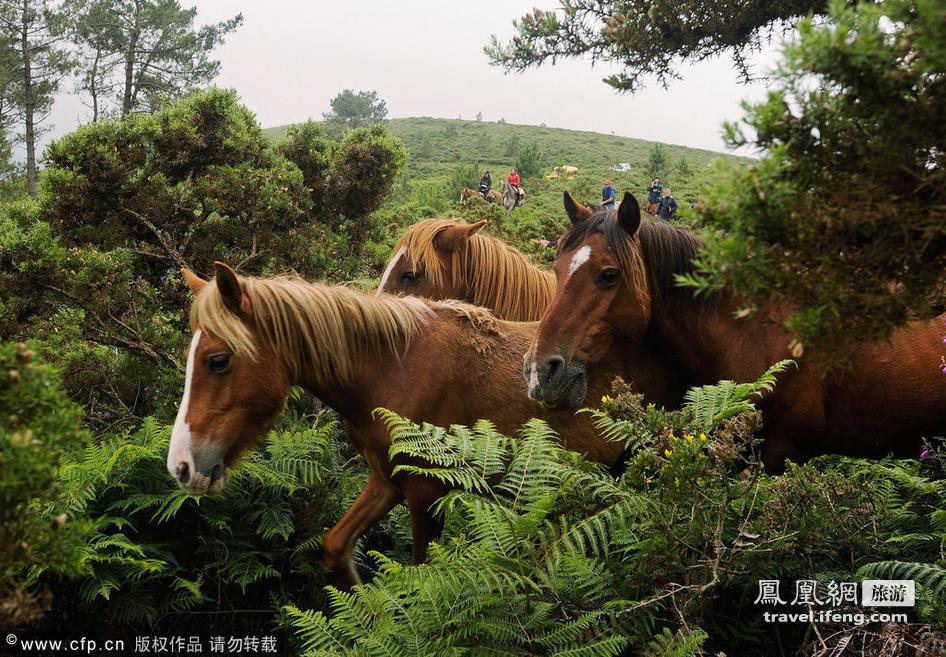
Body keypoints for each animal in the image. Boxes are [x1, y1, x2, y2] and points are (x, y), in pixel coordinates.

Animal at [166, 262, 648, 588]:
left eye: (217, 360)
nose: (181, 466)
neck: (392, 368)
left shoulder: (426, 493)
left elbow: (422, 578)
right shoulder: (387, 480)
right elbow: (336, 547)